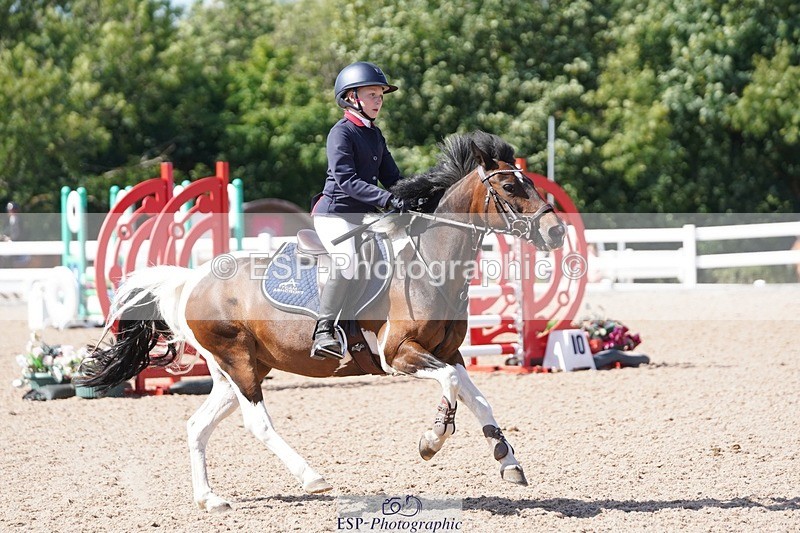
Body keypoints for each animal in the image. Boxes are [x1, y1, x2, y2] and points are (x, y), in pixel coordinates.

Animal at [77, 131, 567, 512]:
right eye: (510, 187)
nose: (557, 232)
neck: (430, 262)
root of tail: (193, 279)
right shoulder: (399, 354)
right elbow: (448, 385)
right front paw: (433, 438)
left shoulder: (450, 352)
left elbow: (476, 396)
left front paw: (507, 459)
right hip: (238, 361)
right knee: (257, 423)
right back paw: (313, 478)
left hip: (236, 370)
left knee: (198, 425)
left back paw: (211, 500)